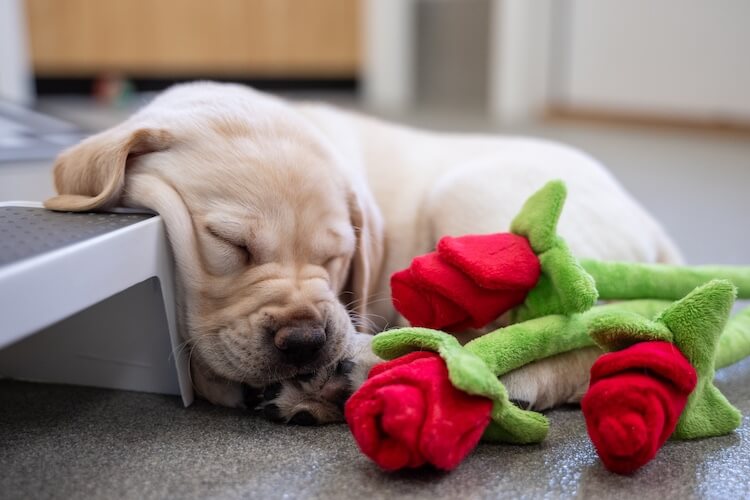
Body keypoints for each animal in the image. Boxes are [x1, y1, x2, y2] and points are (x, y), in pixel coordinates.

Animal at [44, 81, 684, 422]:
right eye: (232, 244)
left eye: (334, 255)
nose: (306, 343)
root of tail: (655, 227)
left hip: (471, 200)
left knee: (590, 335)